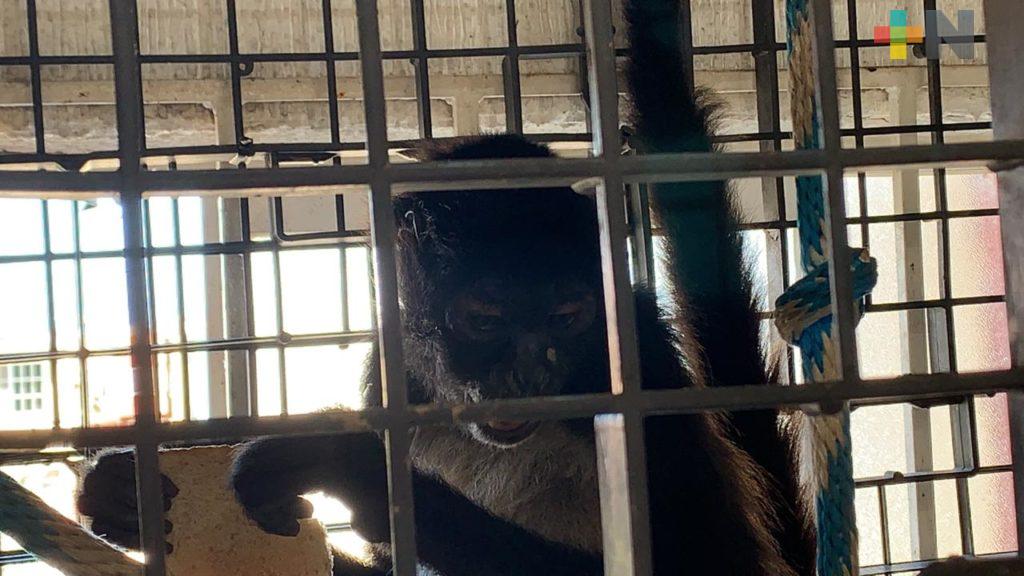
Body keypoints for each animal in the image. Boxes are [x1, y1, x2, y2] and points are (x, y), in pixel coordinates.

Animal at [77, 0, 814, 574]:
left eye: (568, 317)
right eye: (485, 320)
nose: (529, 374)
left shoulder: (640, 362)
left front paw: (358, 474)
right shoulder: (392, 367)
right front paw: (125, 493)